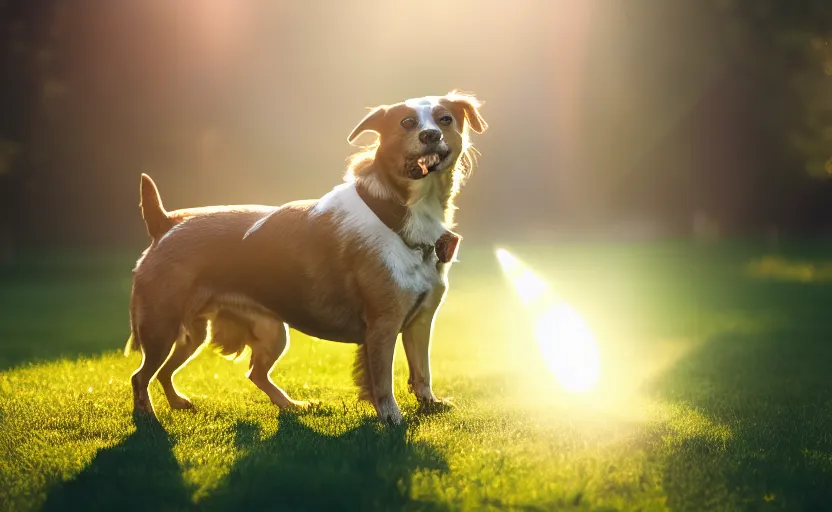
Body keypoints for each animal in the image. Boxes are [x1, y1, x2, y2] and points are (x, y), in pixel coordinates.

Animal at [125, 92, 488, 424]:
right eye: (407, 123)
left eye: (445, 119)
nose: (431, 135)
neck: (401, 214)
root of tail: (167, 222)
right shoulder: (383, 325)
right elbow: (383, 382)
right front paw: (392, 420)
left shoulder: (420, 321)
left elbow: (422, 372)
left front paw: (430, 403)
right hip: (161, 327)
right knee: (141, 375)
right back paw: (148, 416)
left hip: (236, 333)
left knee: (234, 373)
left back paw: (278, 405)